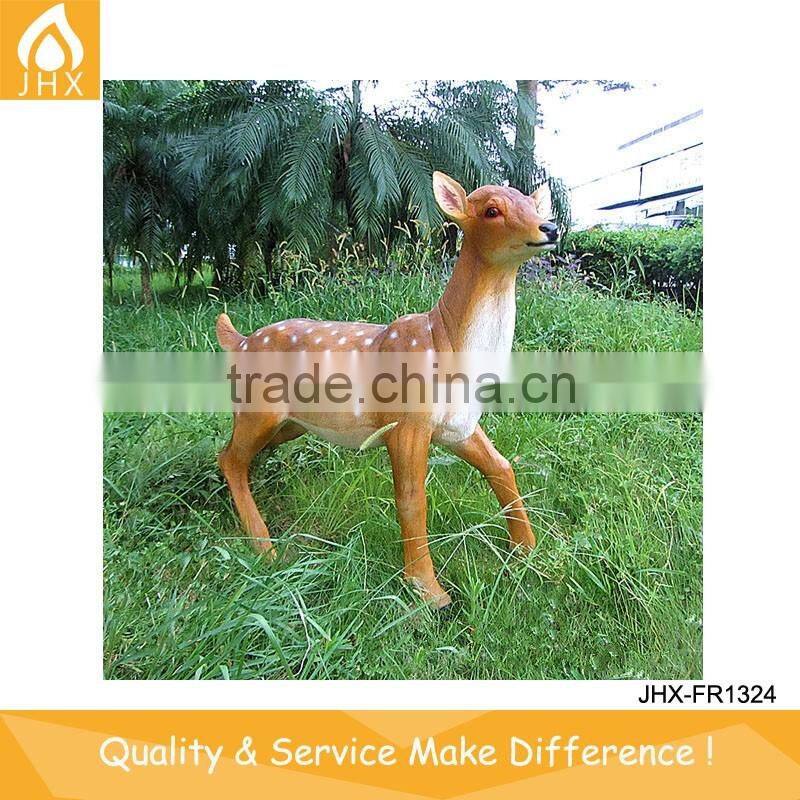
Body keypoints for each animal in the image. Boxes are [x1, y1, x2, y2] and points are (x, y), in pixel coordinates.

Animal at [215, 171, 559, 608]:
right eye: (491, 210)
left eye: (534, 205)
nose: (550, 228)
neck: (444, 342)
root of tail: (239, 341)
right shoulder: (406, 423)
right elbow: (411, 498)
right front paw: (429, 592)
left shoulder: (458, 426)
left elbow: (502, 467)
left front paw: (527, 550)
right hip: (259, 407)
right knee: (229, 457)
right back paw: (264, 545)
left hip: (290, 424)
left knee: (236, 457)